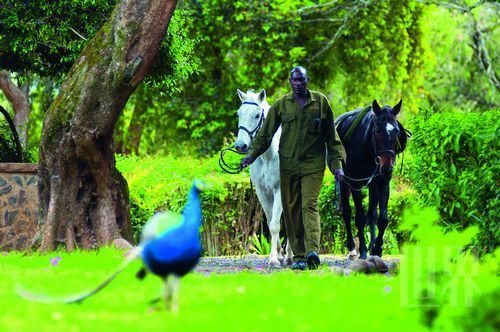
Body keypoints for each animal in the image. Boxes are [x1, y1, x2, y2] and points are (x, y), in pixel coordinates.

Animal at [233, 87, 292, 268]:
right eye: (238, 114)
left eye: (257, 115)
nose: (240, 145)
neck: (268, 156)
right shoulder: (262, 192)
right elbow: (270, 220)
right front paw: (278, 255)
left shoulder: (279, 190)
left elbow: (274, 226)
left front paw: (273, 260)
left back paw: (290, 256)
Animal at [334, 98, 408, 260]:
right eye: (377, 131)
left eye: (396, 131)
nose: (386, 167)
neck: (367, 146)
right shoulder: (356, 183)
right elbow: (360, 219)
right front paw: (362, 250)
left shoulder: (383, 182)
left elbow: (382, 219)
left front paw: (377, 248)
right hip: (344, 181)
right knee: (347, 212)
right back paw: (352, 248)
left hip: (373, 184)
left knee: (372, 215)